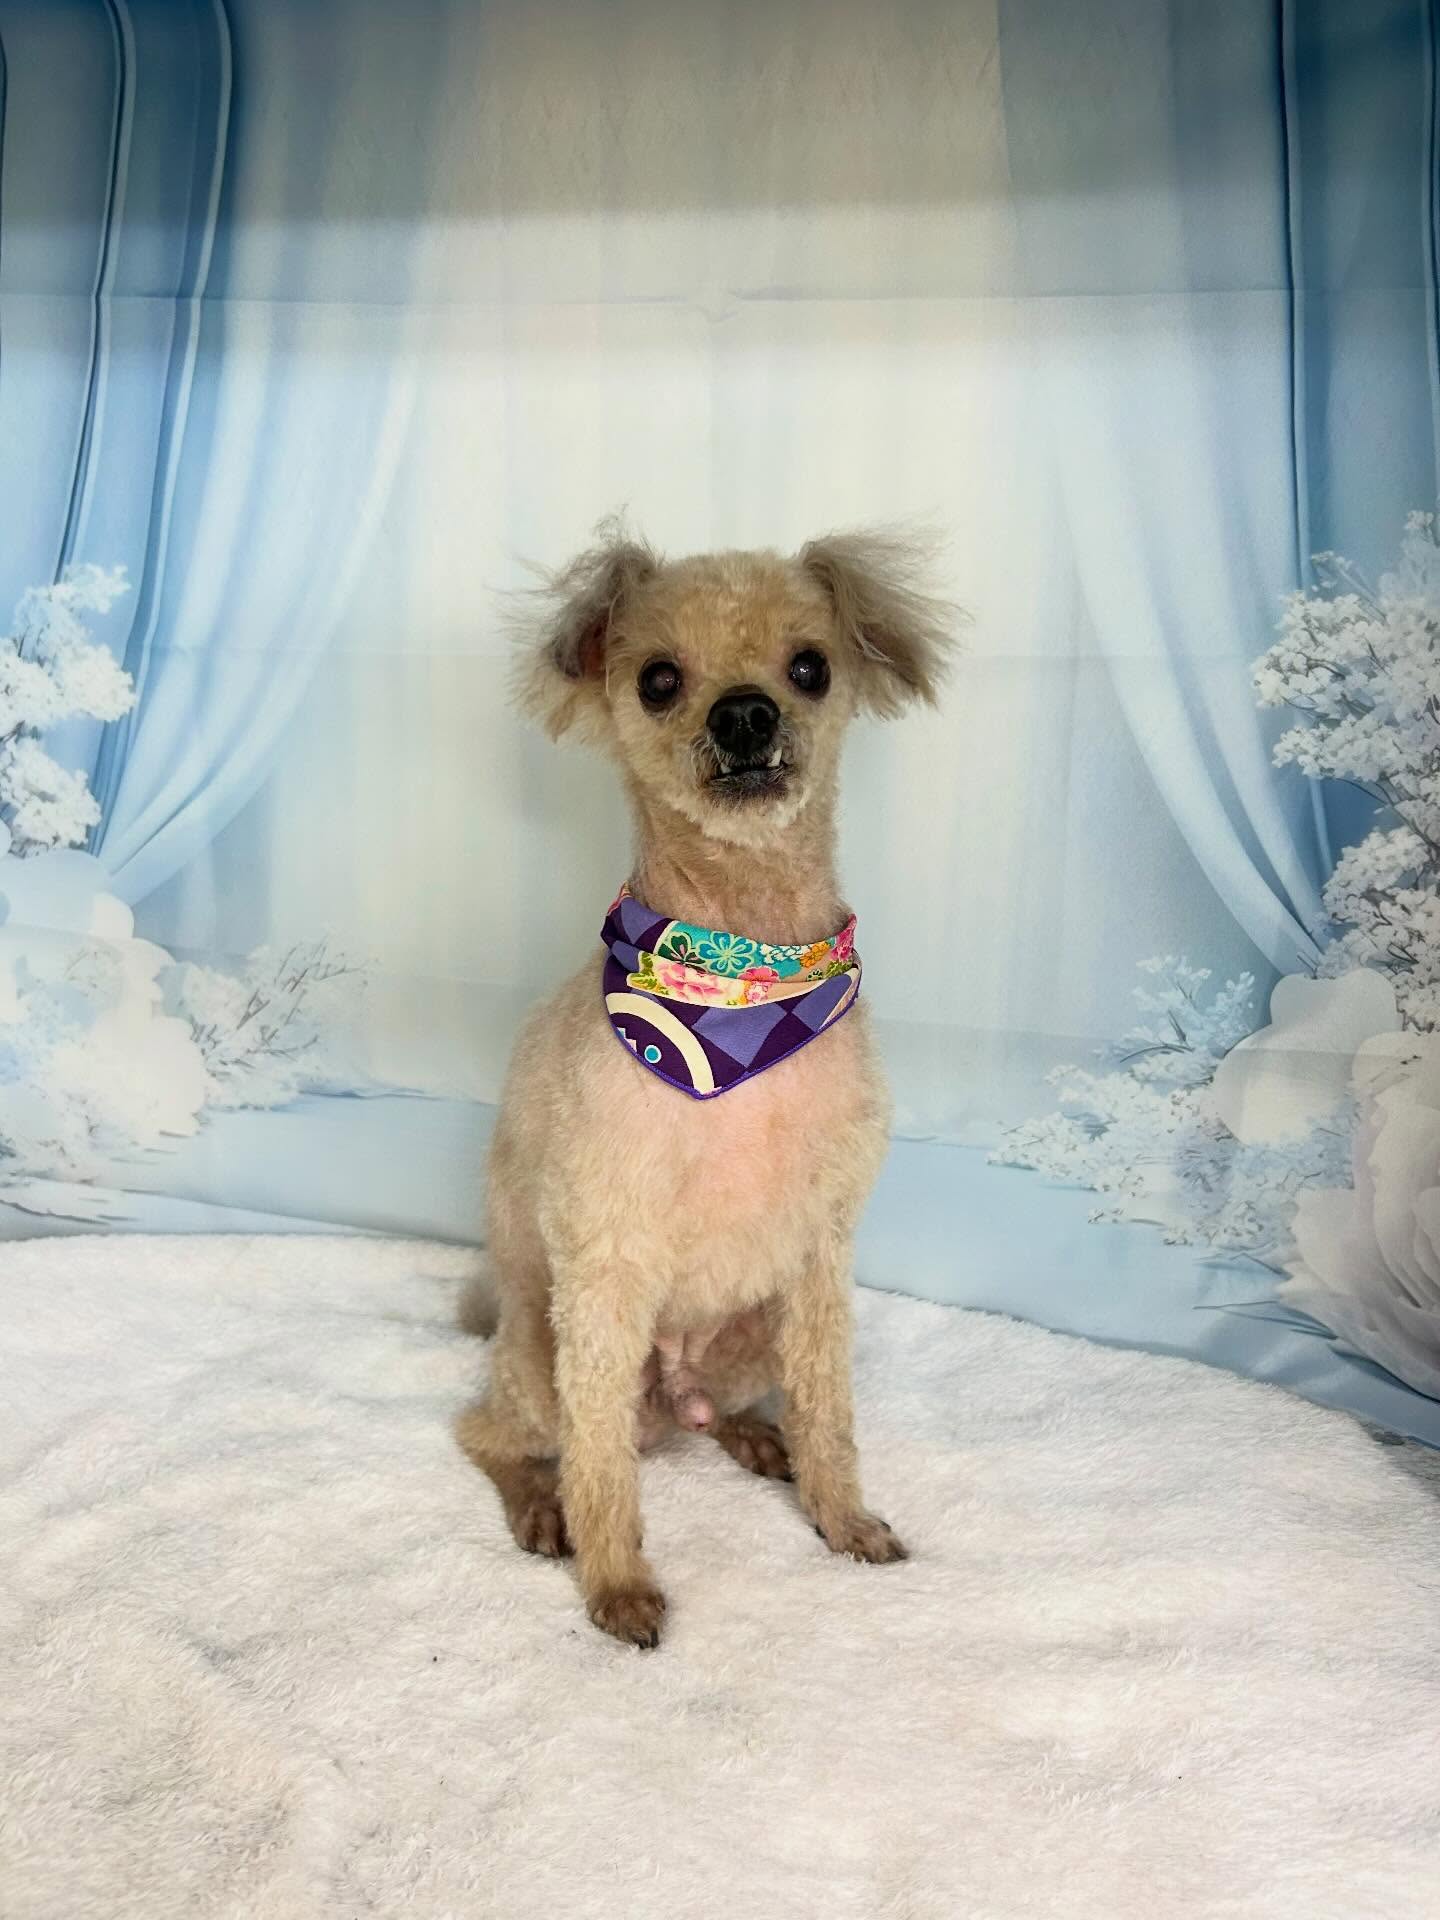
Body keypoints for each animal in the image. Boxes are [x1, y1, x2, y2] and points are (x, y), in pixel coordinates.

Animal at [458, 521, 957, 1647]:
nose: (744, 713)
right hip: (540, 1353)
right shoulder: (603, 1267)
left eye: (810, 667)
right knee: (493, 1433)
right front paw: (615, 1583)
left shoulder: (819, 1258)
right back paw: (540, 1504)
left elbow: (830, 1413)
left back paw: (754, 1440)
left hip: (749, 1333)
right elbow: (601, 1465)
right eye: (657, 680)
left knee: (720, 1412)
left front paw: (840, 1514)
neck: (740, 979)